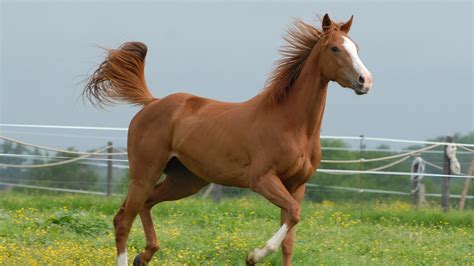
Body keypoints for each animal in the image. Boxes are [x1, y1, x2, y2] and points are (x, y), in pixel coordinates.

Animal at [84, 14, 374, 266]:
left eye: (356, 47)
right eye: (335, 48)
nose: (365, 81)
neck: (293, 125)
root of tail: (152, 102)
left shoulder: (296, 186)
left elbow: (289, 237)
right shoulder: (262, 179)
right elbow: (293, 215)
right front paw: (253, 255)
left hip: (185, 180)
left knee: (145, 205)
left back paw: (143, 256)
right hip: (145, 174)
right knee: (123, 219)